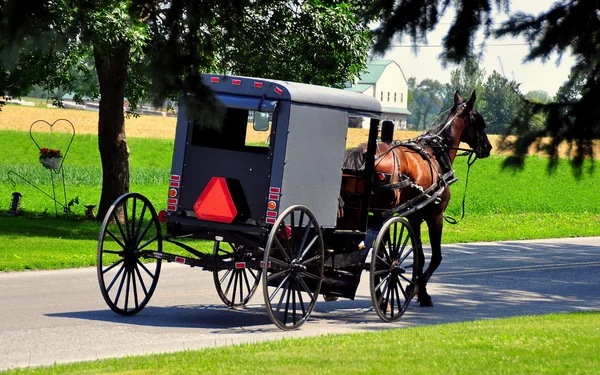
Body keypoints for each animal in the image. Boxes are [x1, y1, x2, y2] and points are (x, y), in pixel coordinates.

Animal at [344, 92, 490, 308]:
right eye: (479, 120)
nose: (488, 147)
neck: (438, 152)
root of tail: (364, 153)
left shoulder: (414, 217)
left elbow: (419, 255)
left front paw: (417, 289)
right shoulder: (435, 216)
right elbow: (435, 257)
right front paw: (417, 291)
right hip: (383, 213)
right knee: (380, 254)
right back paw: (384, 294)